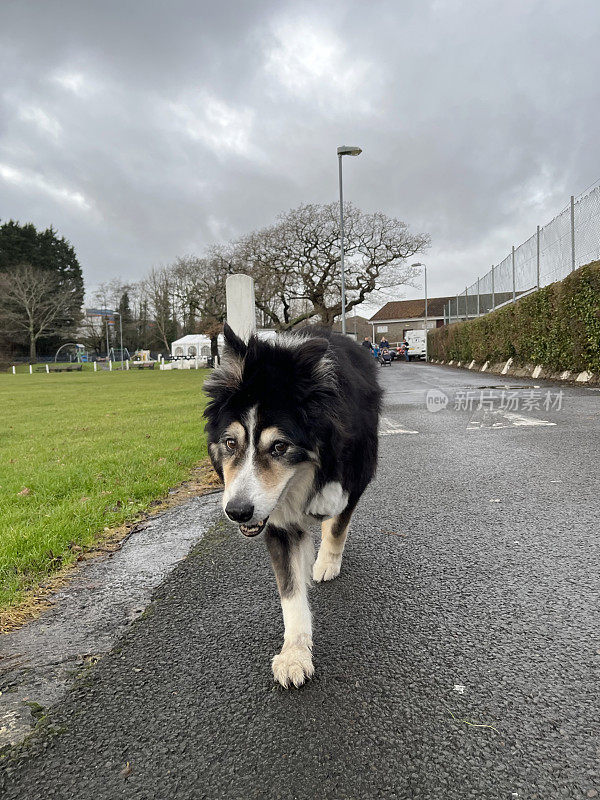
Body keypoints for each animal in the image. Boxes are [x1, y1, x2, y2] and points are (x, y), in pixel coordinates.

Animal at [202, 322, 380, 684]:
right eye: (230, 443)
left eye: (280, 447)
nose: (237, 512)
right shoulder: (275, 521)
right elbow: (290, 591)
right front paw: (295, 654)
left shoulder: (354, 471)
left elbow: (337, 520)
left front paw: (326, 556)